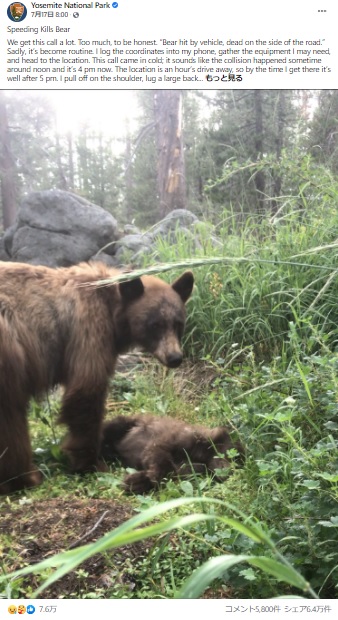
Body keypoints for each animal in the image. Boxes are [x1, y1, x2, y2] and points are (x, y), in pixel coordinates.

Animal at [0, 262, 194, 494]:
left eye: (178, 323)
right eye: (155, 324)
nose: (175, 357)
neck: (112, 307)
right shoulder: (89, 329)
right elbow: (86, 392)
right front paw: (91, 463)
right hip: (9, 352)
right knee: (10, 416)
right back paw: (24, 477)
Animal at [100, 414, 243, 492]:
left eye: (238, 464)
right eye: (232, 455)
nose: (229, 471)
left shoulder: (192, 469)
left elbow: (173, 474)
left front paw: (137, 482)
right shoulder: (180, 438)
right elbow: (158, 452)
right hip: (125, 424)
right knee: (110, 428)